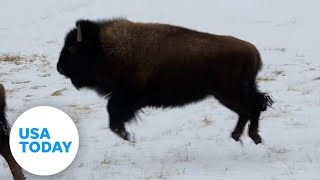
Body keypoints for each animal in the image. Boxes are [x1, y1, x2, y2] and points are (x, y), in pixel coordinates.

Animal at [57, 17, 272, 145]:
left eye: (73, 49)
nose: (59, 67)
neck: (105, 48)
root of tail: (253, 52)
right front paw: (127, 136)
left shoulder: (125, 97)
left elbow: (113, 115)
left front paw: (128, 137)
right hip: (227, 94)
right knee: (251, 108)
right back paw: (240, 137)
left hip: (229, 93)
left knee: (254, 106)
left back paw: (254, 137)